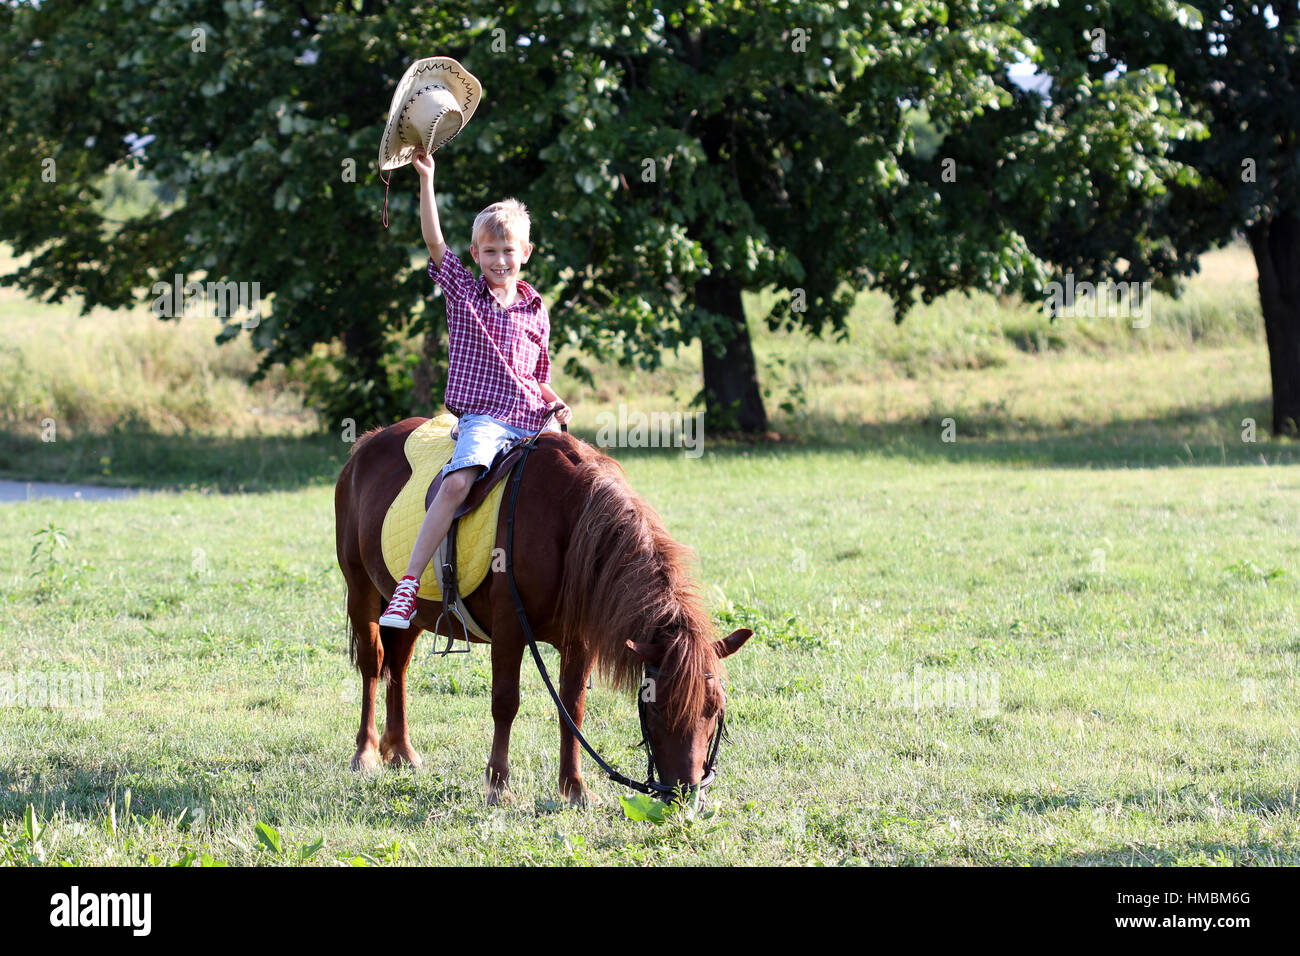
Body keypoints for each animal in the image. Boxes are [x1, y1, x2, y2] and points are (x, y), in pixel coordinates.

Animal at [334, 417, 752, 805]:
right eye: (658, 710)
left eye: (715, 711)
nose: (685, 795)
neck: (568, 521)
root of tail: (368, 443)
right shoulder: (508, 627)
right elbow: (505, 702)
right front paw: (498, 785)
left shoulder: (580, 639)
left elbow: (573, 707)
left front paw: (574, 788)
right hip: (362, 590)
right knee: (374, 664)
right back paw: (365, 753)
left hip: (413, 612)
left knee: (399, 667)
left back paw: (402, 751)